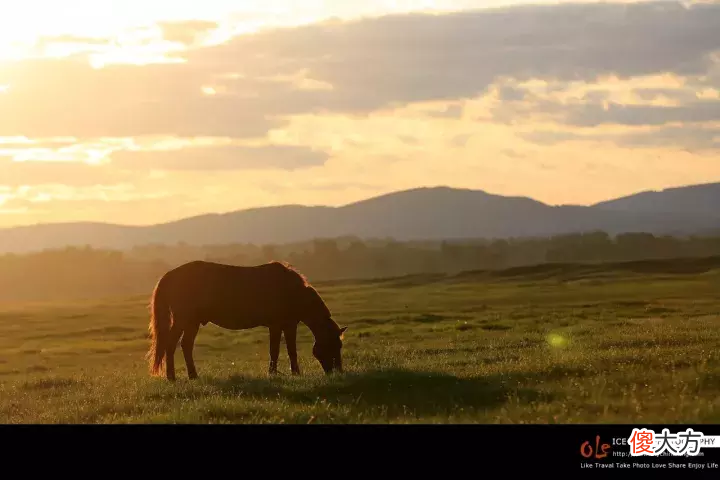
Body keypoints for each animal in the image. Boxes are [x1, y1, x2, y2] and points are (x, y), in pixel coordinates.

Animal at [145, 260, 348, 381]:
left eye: (339, 345)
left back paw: (193, 376)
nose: (338, 372)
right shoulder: (278, 325)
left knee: (185, 345)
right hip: (183, 320)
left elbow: (288, 350)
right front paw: (277, 373)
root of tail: (170, 275)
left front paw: (291, 373)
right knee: (170, 344)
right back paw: (172, 377)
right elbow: (277, 350)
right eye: (332, 345)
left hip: (192, 322)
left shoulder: (288, 325)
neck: (292, 290)